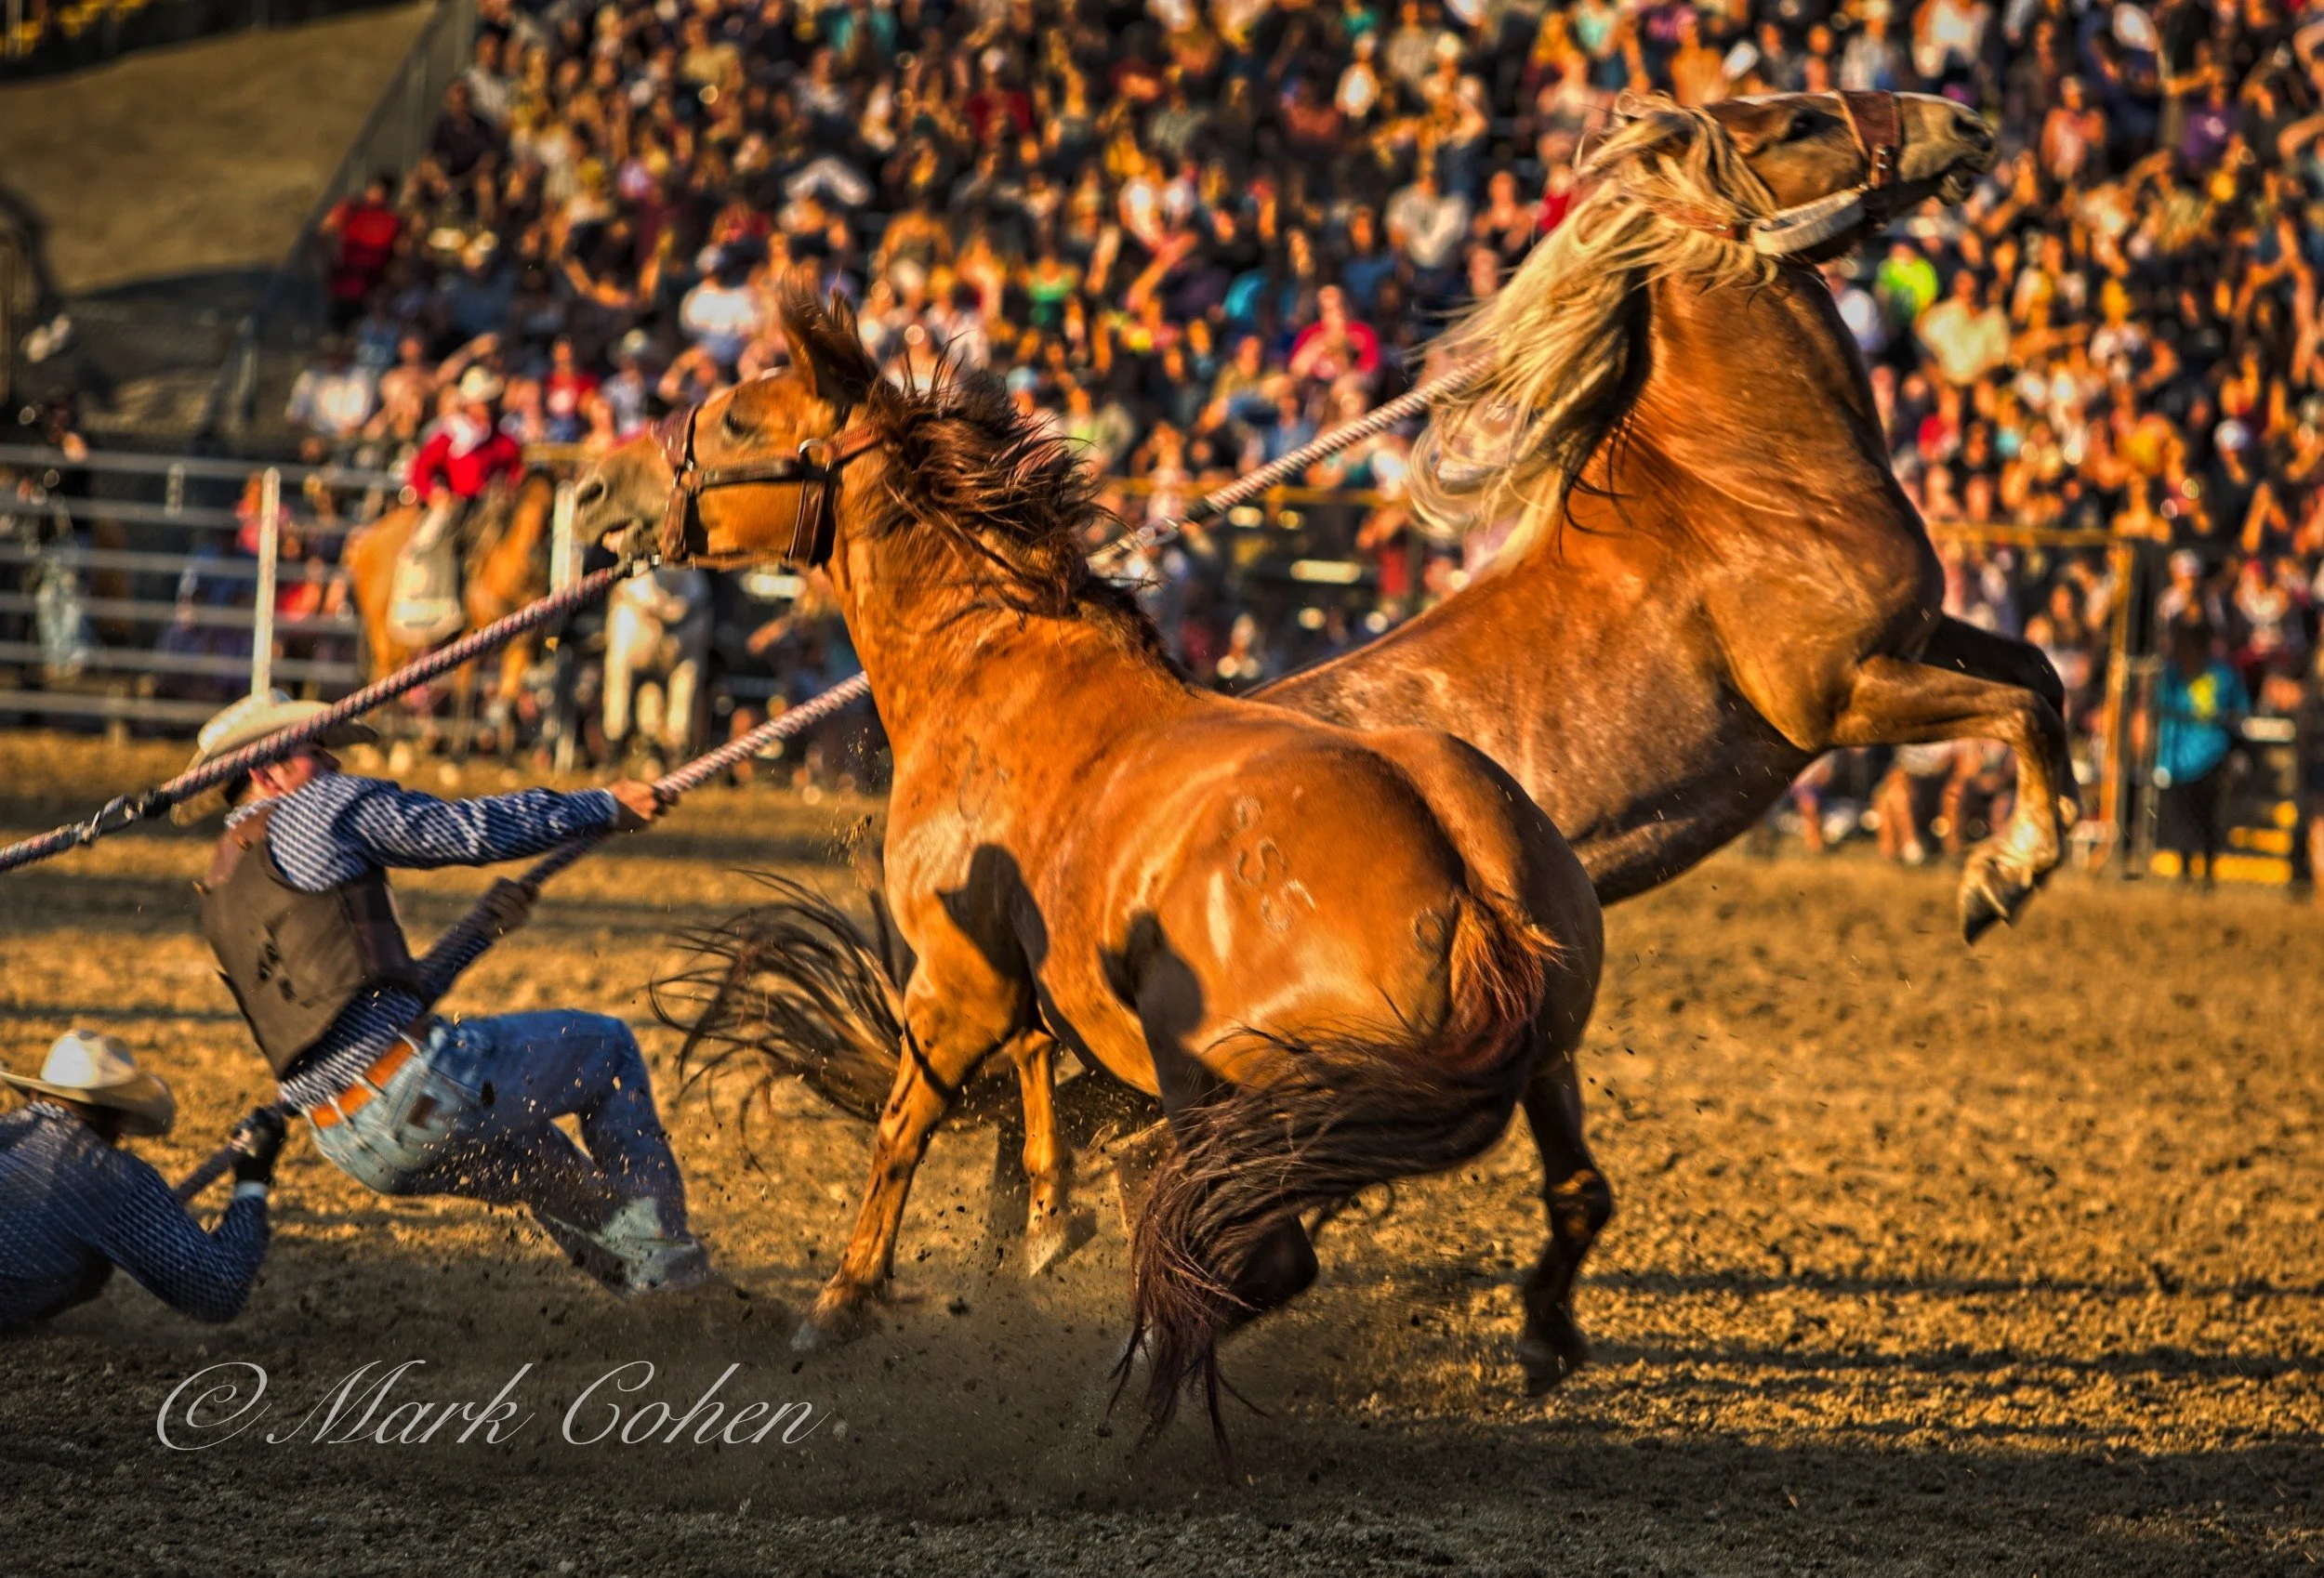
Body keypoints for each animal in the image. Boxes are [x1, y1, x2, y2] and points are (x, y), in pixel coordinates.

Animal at [342, 469, 558, 754]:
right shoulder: (469, 636)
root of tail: (365, 543)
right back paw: (385, 741)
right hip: (384, 632)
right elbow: (466, 691)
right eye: (521, 502)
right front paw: (457, 751)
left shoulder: (523, 643)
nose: (533, 553)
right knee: (385, 674)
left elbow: (509, 693)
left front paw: (505, 751)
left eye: (551, 507)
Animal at [573, 283, 1607, 1446]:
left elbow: (904, 1124)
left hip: (1219, 1092)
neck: (991, 661)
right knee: (1575, 1197)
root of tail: (1462, 891)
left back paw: (1121, 1385)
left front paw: (841, 1305)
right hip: (1539, 1067)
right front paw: (1047, 1218)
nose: (592, 487)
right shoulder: (1015, 968)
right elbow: (1032, 1051)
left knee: (1256, 1259)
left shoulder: (954, 981)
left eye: (742, 420)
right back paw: (1541, 1338)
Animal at [634, 90, 2036, 1390]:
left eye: (742, 421)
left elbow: (2032, 684)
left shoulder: (1881, 665)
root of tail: (1466, 891)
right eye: (1795, 120)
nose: (1963, 124)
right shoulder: (1845, 690)